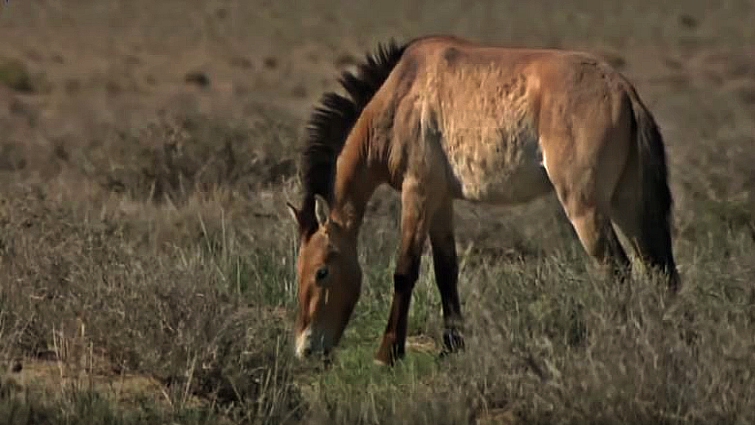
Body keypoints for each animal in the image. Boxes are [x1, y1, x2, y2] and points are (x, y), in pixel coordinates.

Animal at [285, 34, 680, 366]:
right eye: (299, 268)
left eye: (321, 271)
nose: (305, 349)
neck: (402, 94)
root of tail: (624, 91)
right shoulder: (440, 201)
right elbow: (446, 271)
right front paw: (451, 346)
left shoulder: (418, 193)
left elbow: (404, 271)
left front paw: (387, 353)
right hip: (626, 207)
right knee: (660, 272)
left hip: (586, 210)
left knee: (620, 271)